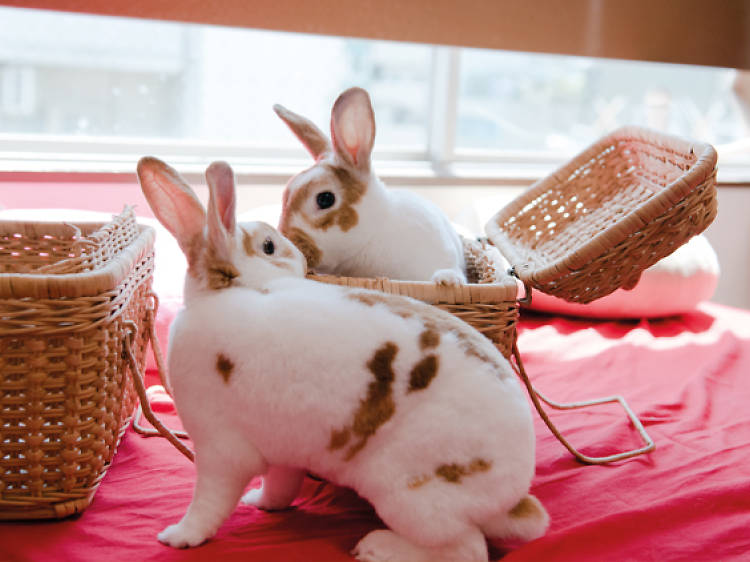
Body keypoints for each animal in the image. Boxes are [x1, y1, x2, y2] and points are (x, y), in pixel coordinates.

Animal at [137, 155, 548, 556]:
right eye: (269, 246)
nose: (301, 257)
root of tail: (511, 496)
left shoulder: (219, 449)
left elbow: (209, 503)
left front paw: (179, 536)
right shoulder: (284, 449)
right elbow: (280, 484)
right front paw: (262, 502)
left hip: (408, 492)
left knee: (465, 549)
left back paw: (377, 547)